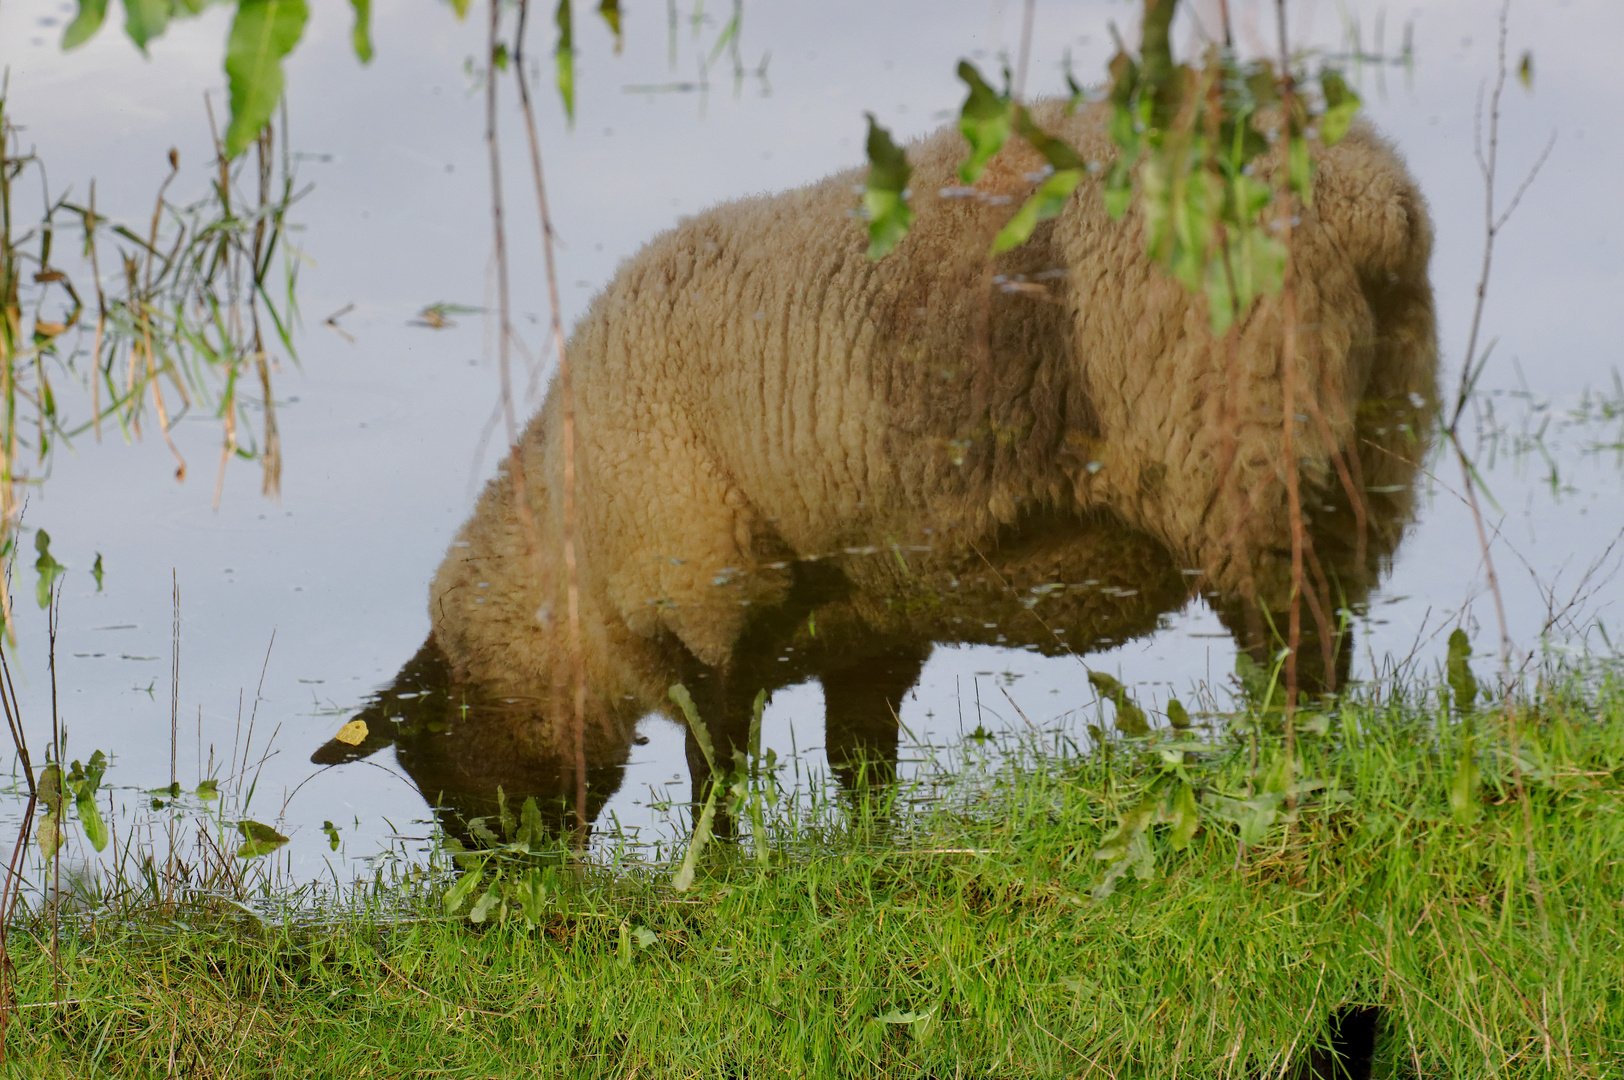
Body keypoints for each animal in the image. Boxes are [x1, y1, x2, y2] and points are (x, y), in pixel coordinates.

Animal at [425, 97, 1429, 727]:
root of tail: (1364, 197)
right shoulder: (865, 622)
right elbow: (858, 759)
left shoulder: (701, 590)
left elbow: (720, 761)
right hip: (1370, 445)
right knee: (1330, 623)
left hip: (1241, 457)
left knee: (1291, 638)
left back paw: (1285, 761)